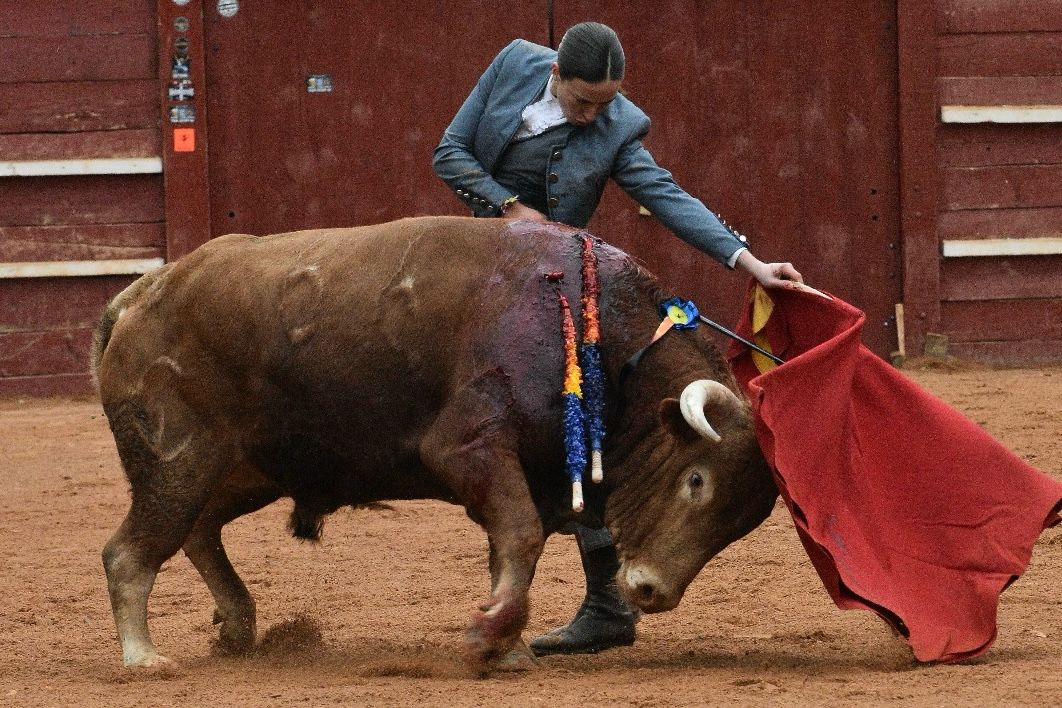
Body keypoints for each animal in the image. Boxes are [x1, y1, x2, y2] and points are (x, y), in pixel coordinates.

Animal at [91, 216, 777, 670]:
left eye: (739, 525)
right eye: (695, 480)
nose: (651, 592)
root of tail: (142, 294)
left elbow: (511, 549)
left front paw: (502, 647)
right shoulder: (468, 448)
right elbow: (520, 535)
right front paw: (487, 637)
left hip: (246, 469)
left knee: (198, 531)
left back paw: (236, 627)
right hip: (179, 461)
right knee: (130, 552)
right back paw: (144, 657)